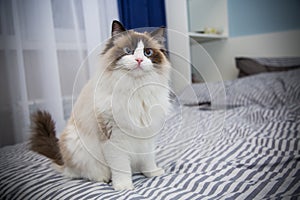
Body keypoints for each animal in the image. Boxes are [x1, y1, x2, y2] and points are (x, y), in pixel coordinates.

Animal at [30, 20, 172, 191]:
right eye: (128, 51)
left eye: (147, 53)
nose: (139, 60)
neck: (135, 89)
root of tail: (62, 159)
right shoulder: (113, 137)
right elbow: (121, 168)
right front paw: (124, 186)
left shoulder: (147, 135)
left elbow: (148, 160)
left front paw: (152, 173)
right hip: (76, 144)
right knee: (79, 173)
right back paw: (104, 178)